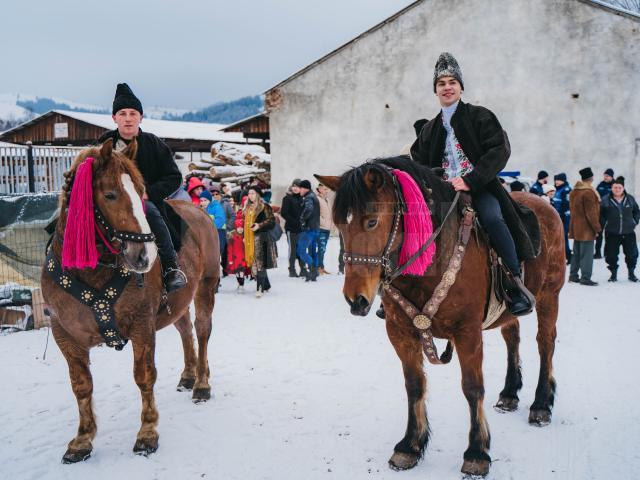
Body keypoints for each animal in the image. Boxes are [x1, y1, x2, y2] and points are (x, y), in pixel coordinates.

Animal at [40, 141, 220, 464]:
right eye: (110, 194)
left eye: (140, 191)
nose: (143, 256)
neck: (93, 270)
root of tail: (199, 213)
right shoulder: (64, 331)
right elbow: (81, 385)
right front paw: (82, 440)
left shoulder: (141, 324)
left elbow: (144, 376)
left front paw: (147, 433)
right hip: (178, 301)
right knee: (185, 330)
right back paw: (189, 375)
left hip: (206, 287)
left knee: (202, 330)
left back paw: (201, 383)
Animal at [316, 157, 564, 476]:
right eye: (338, 224)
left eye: (371, 221)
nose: (355, 299)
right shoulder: (400, 332)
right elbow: (414, 385)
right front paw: (410, 445)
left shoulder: (467, 332)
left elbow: (472, 388)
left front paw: (477, 452)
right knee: (513, 336)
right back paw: (510, 392)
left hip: (549, 296)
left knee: (545, 343)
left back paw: (541, 404)